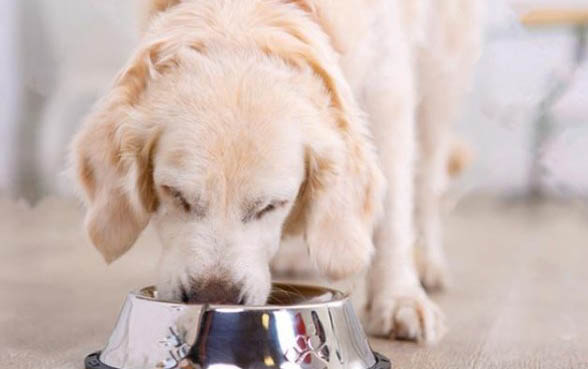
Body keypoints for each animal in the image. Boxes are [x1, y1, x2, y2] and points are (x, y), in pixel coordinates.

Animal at [70, 0, 482, 342]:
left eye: (271, 206)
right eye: (176, 195)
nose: (213, 297)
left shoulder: (388, 86)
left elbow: (394, 209)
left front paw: (399, 299)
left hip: (442, 71)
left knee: (428, 179)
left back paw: (426, 261)